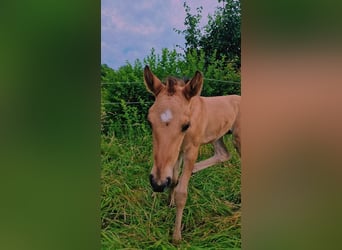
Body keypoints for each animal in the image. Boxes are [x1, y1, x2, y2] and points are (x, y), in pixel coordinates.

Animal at [144, 65, 240, 242]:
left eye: (185, 125)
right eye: (149, 121)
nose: (157, 184)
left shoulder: (191, 150)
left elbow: (182, 193)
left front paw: (176, 237)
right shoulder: (178, 151)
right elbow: (175, 179)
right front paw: (169, 202)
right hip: (218, 136)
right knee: (224, 154)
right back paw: (195, 170)